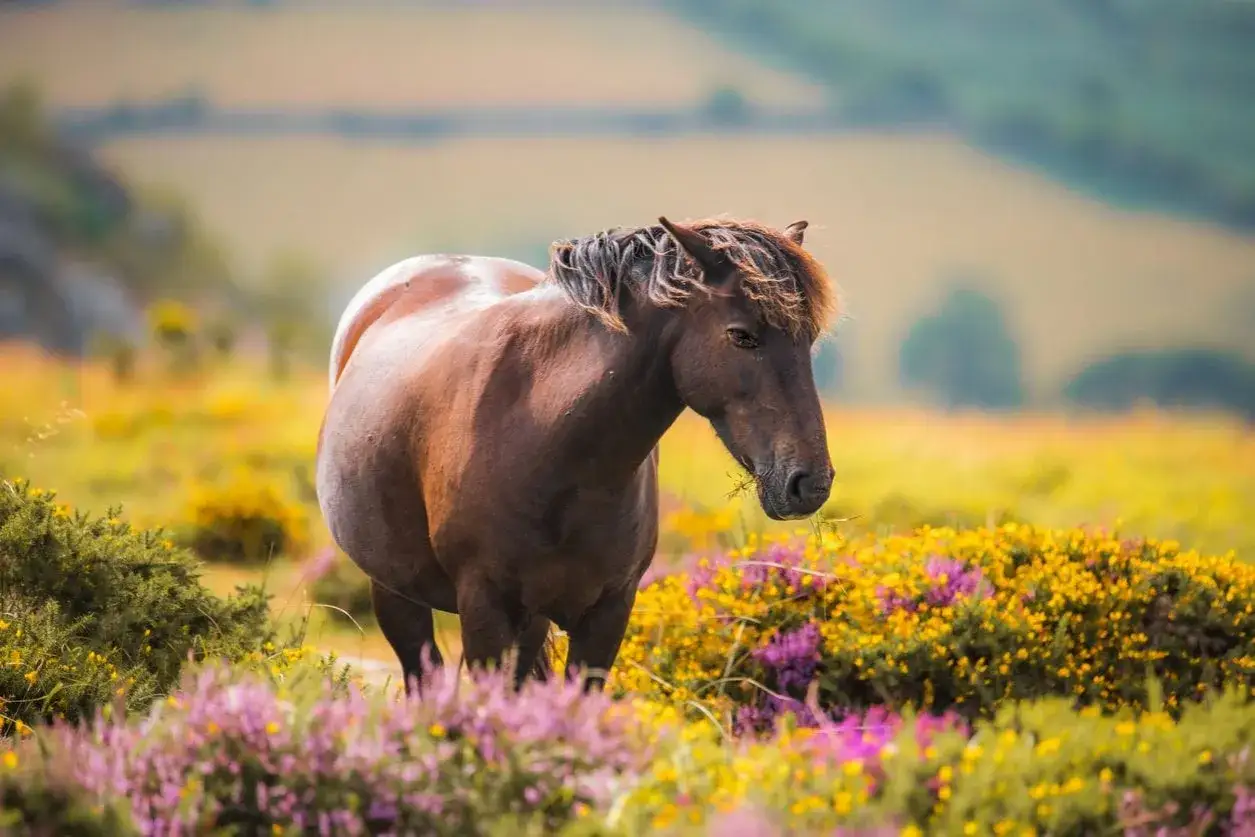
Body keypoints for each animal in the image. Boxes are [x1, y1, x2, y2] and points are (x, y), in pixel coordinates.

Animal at [314, 216, 840, 693]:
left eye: (808, 340)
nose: (809, 483)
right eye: (741, 335)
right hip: (395, 594)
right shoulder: (484, 608)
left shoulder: (606, 613)